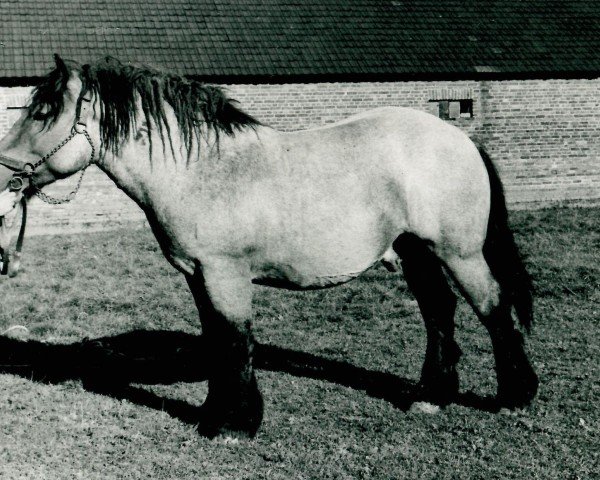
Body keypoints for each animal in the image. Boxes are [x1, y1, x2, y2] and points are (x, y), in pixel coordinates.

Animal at [0, 56, 540, 438]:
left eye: (44, 110)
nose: (5, 177)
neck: (201, 169)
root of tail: (459, 138)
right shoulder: (199, 275)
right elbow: (218, 341)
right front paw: (216, 414)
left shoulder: (225, 275)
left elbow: (236, 341)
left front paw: (235, 424)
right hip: (416, 252)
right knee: (439, 311)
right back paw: (431, 396)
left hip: (457, 254)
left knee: (493, 308)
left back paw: (515, 395)